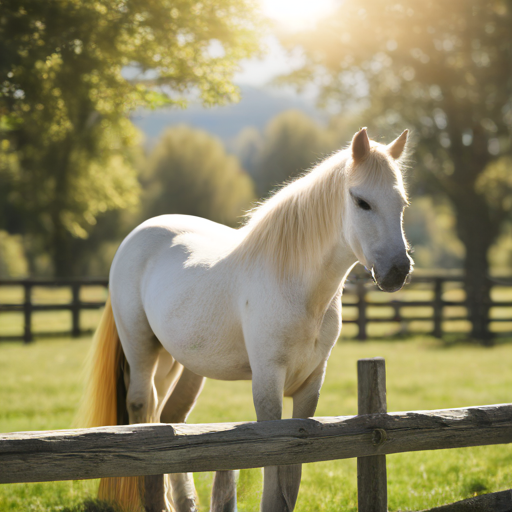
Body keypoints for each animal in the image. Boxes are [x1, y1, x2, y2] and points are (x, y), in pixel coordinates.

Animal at [76, 126, 412, 510]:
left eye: (402, 204)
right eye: (362, 202)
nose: (398, 271)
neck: (295, 285)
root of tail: (137, 235)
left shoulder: (310, 388)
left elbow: (291, 482)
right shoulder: (267, 384)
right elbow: (274, 484)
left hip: (179, 363)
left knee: (169, 419)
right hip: (141, 349)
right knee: (142, 411)